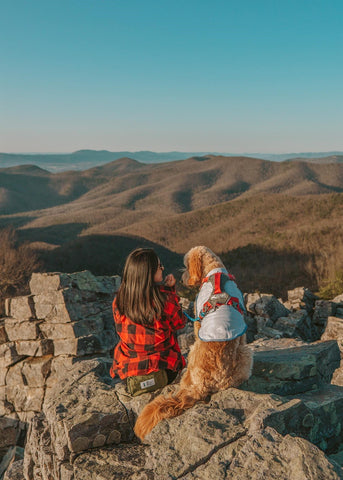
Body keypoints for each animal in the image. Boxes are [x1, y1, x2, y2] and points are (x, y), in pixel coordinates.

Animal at [134, 246, 253, 440]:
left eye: (186, 265)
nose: (181, 278)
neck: (215, 270)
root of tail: (201, 386)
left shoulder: (198, 320)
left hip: (201, 352)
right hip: (244, 352)